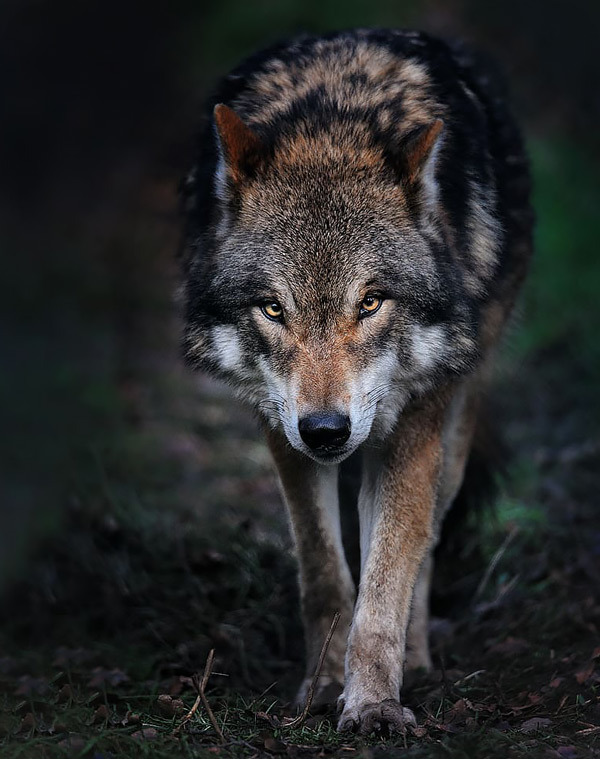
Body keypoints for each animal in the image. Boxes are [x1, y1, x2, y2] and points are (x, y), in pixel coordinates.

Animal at [179, 29, 533, 734]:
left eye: (370, 303)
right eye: (272, 308)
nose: (325, 430)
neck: (332, 120)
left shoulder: (413, 429)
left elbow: (387, 577)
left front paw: (373, 704)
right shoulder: (279, 428)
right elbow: (325, 574)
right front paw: (322, 688)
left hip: (452, 431)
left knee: (426, 543)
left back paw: (416, 661)